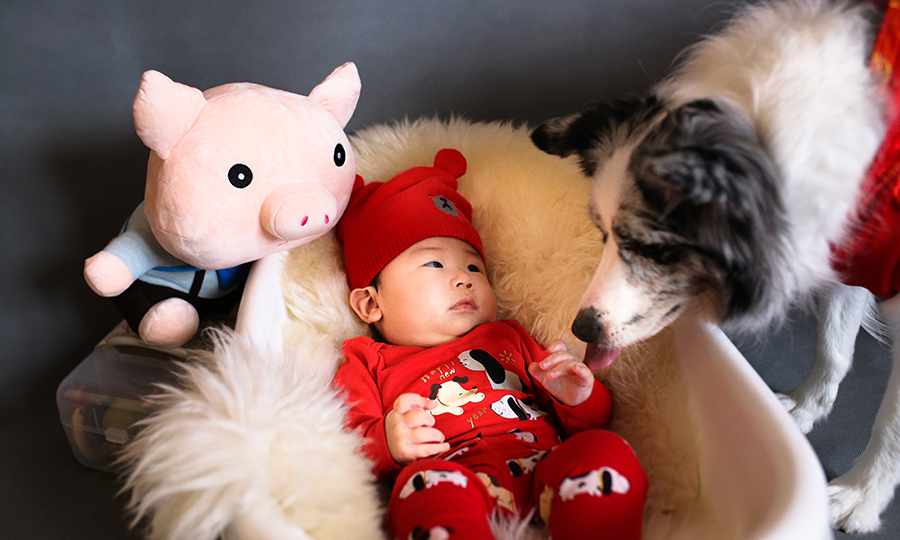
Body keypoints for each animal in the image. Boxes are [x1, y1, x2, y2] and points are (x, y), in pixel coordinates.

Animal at [532, 0, 896, 532]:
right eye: (601, 233)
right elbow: (833, 349)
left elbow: (890, 423)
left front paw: (861, 495)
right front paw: (805, 410)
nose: (582, 329)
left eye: (657, 250)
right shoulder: (843, 250)